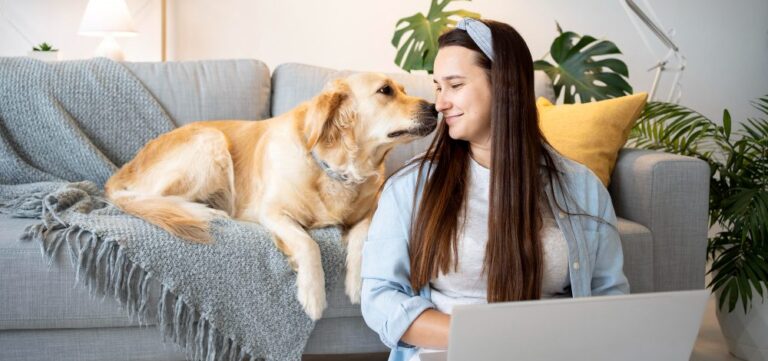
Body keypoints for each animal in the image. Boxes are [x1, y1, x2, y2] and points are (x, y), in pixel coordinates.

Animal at [103, 72, 438, 318]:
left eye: (404, 88)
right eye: (385, 90)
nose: (434, 108)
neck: (337, 168)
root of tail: (124, 170)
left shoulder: (371, 211)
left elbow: (361, 238)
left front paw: (356, 283)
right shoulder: (272, 212)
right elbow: (307, 244)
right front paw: (312, 294)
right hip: (210, 141)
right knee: (154, 199)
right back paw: (205, 211)